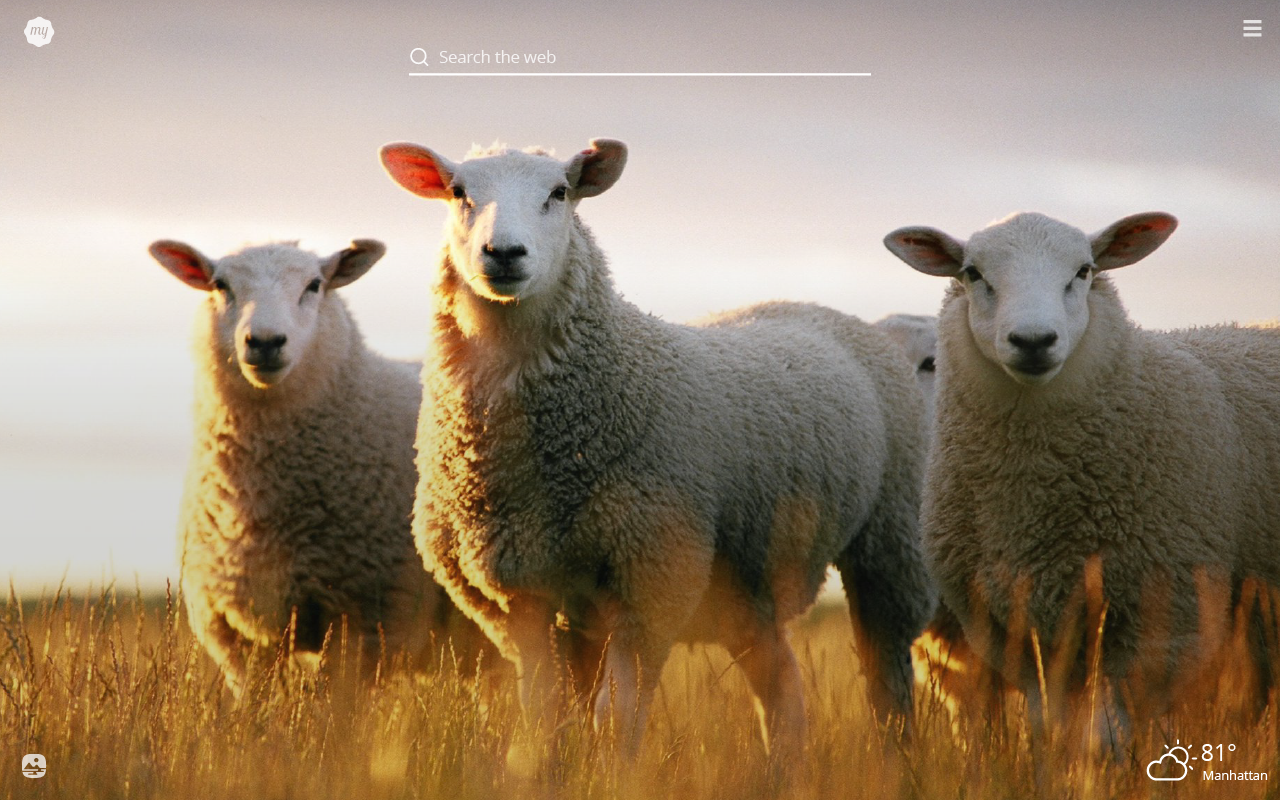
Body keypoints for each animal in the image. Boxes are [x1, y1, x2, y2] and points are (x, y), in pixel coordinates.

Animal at [380, 138, 934, 761]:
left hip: (888, 541)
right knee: (784, 694)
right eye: (458, 193)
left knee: (888, 684)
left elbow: (615, 721)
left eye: (559, 192)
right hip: (747, 583)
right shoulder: (517, 598)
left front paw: (612, 772)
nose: (503, 253)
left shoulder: (650, 581)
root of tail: (810, 305)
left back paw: (897, 762)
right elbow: (545, 719)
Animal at [883, 211, 1280, 732]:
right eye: (972, 273)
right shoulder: (1009, 632)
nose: (1033, 341)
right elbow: (1045, 727)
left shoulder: (1164, 621)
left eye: (1084, 271)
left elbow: (1119, 732)